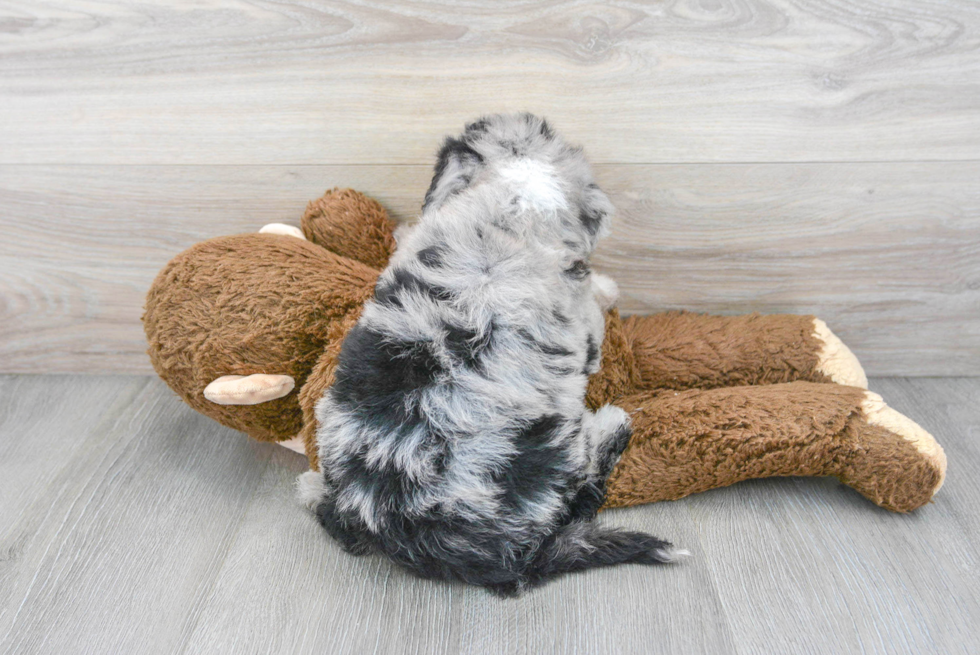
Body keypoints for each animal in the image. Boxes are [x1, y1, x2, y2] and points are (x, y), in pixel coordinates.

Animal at [298, 114, 680, 600]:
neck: (510, 205)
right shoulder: (581, 326)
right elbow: (594, 308)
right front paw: (608, 287)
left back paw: (312, 488)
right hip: (553, 457)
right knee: (586, 481)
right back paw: (614, 421)